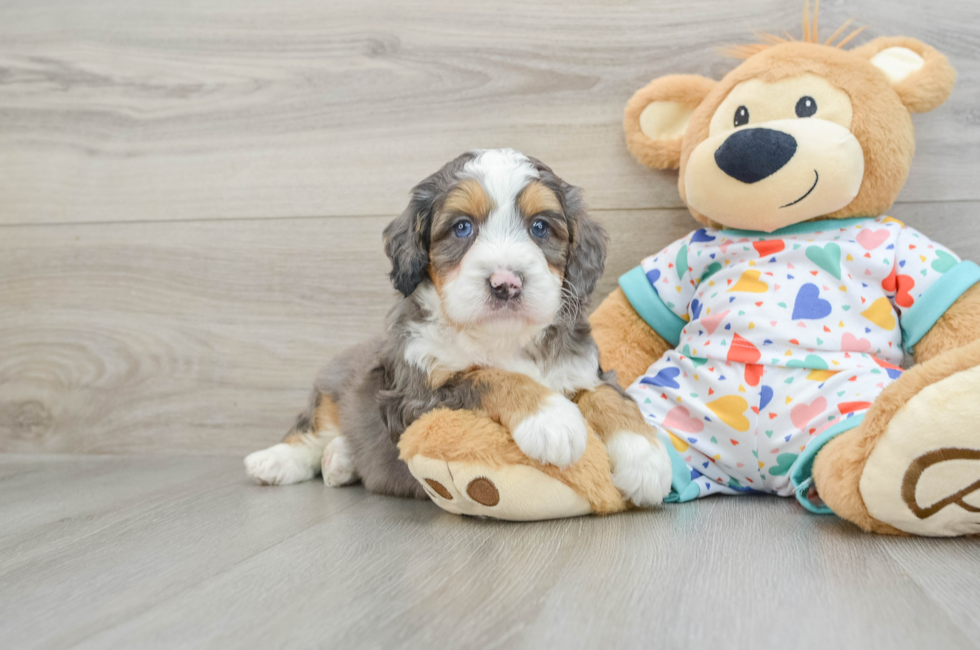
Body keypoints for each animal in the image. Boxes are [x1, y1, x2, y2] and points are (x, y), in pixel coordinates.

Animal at [245, 148, 672, 506]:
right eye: (462, 227)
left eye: (539, 227)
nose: (506, 282)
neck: (503, 337)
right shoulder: (416, 397)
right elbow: (488, 375)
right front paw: (551, 419)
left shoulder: (582, 369)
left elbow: (610, 397)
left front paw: (647, 459)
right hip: (333, 385)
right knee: (313, 430)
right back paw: (275, 461)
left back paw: (341, 460)